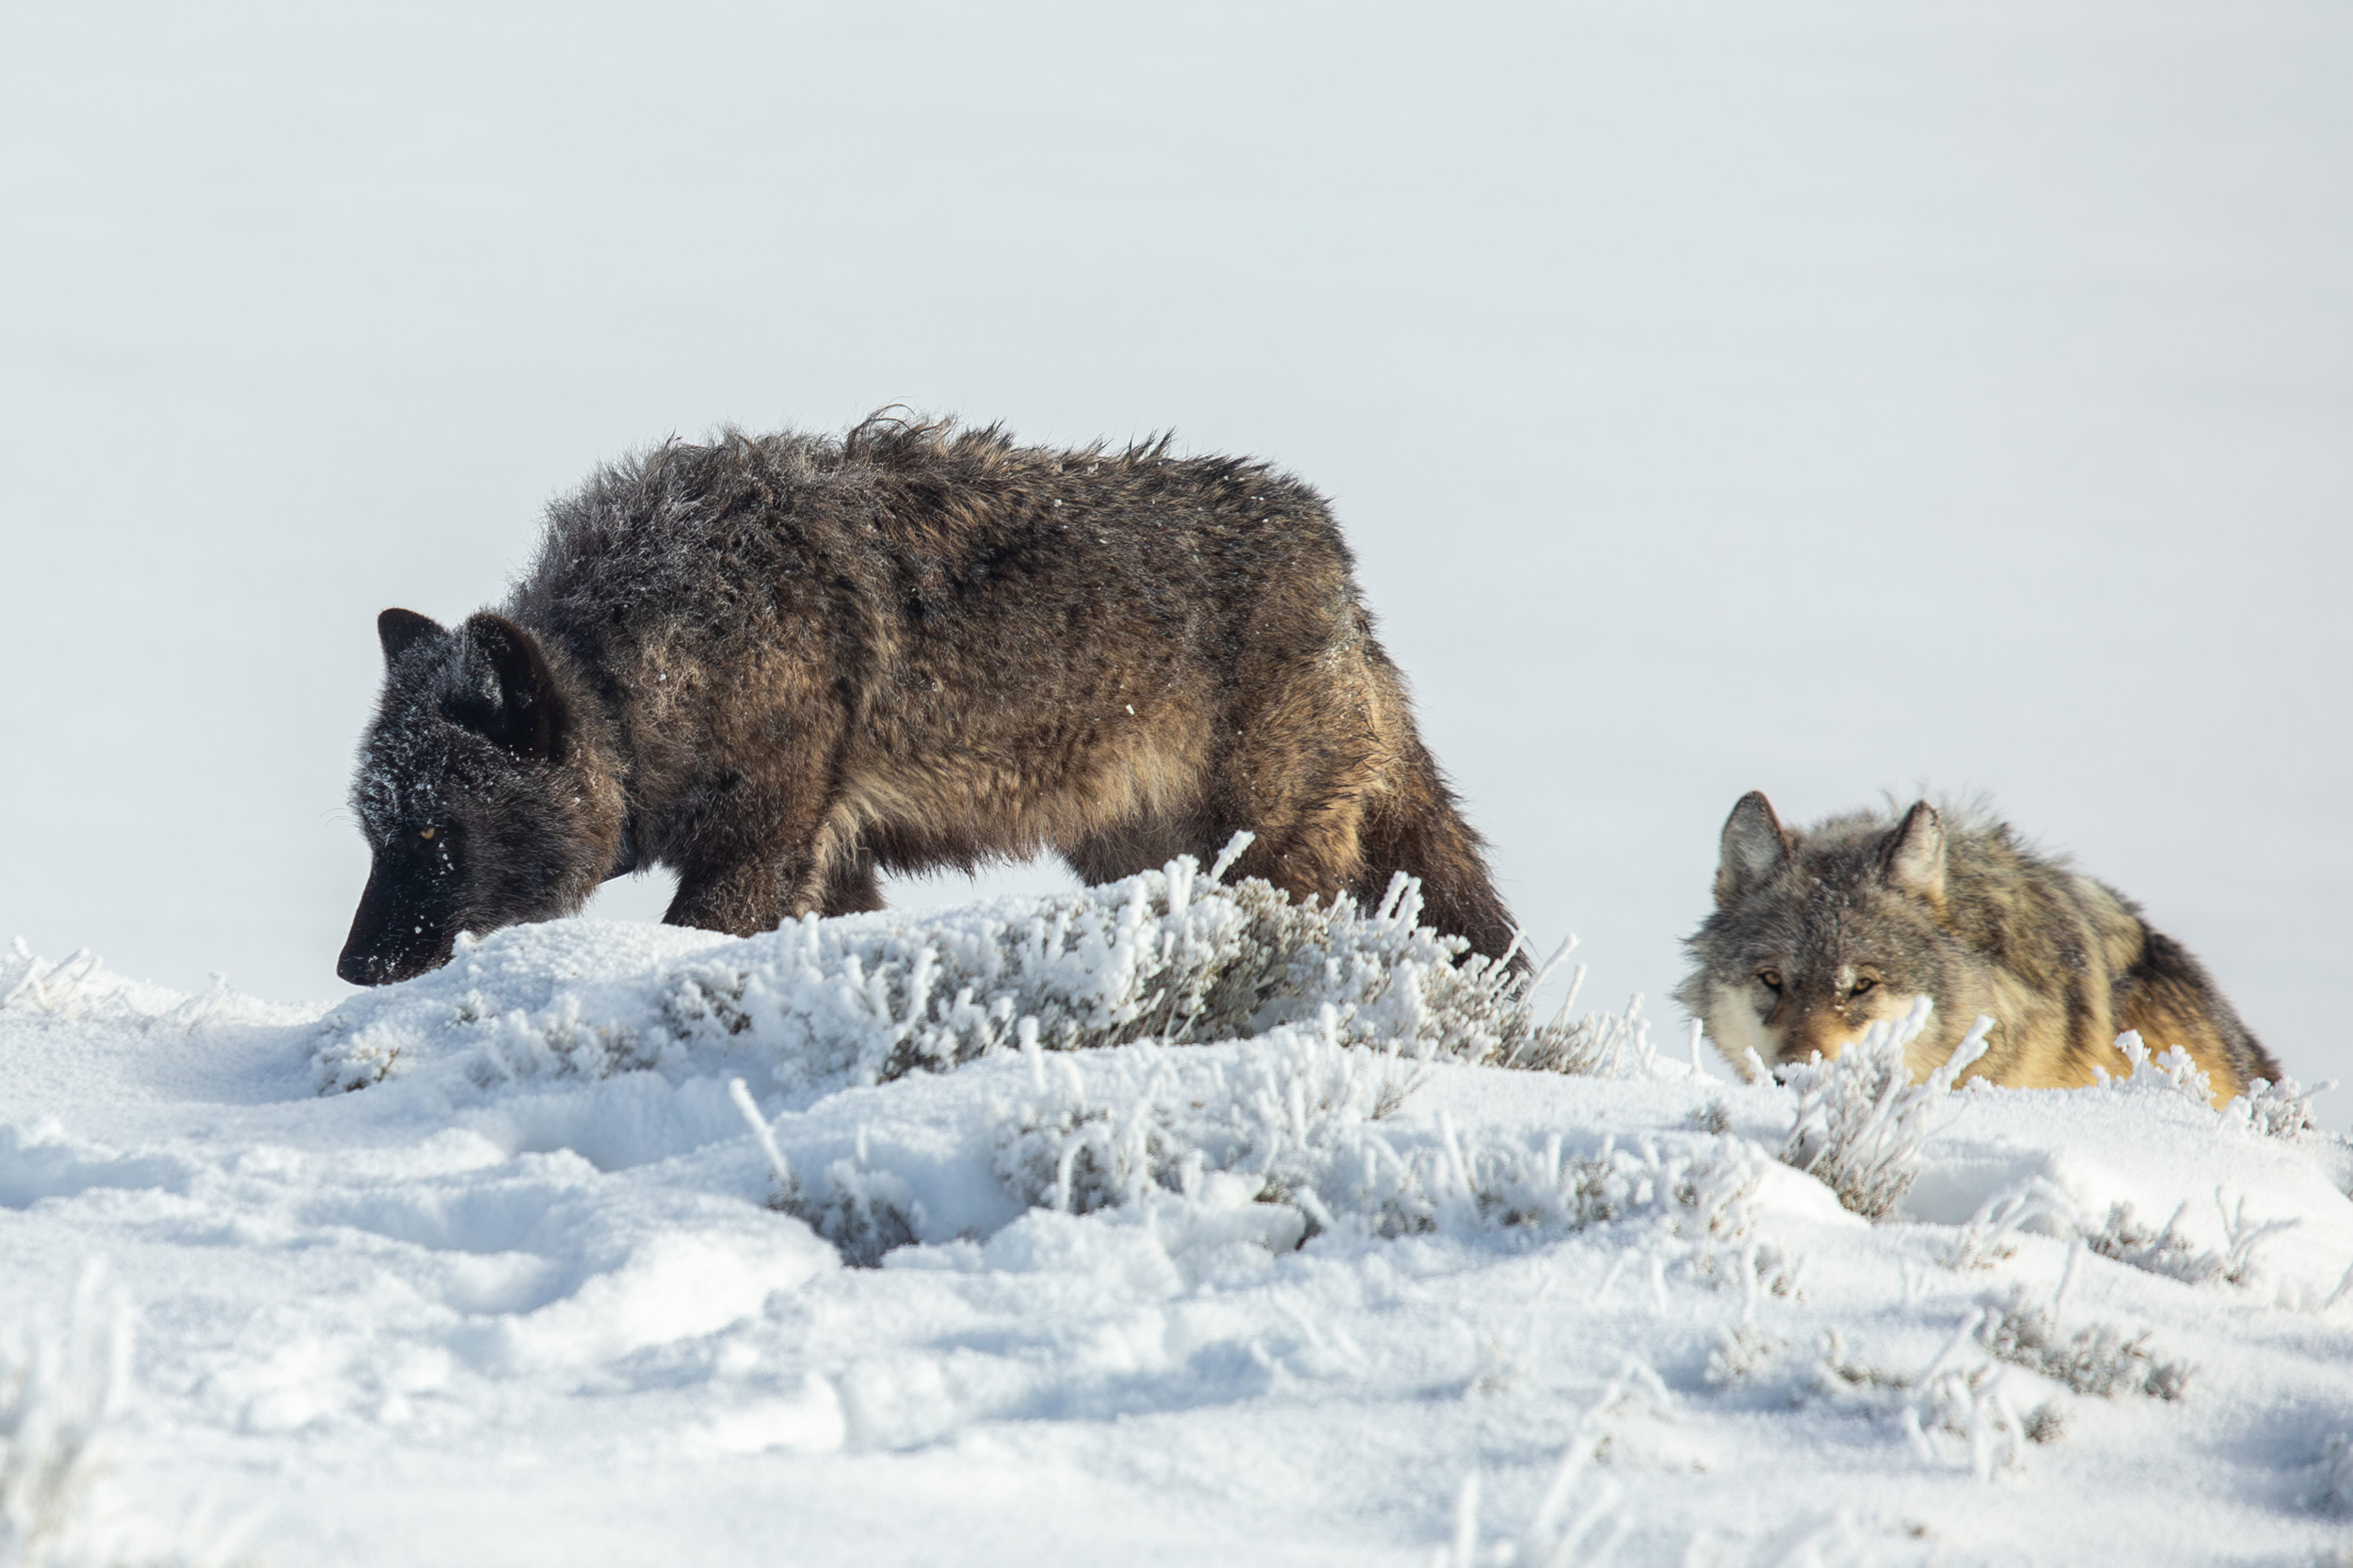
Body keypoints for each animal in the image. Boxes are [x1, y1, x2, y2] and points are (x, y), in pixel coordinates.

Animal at [337, 417, 1519, 986]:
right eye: (377, 833)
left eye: (439, 832)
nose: (354, 968)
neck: (649, 669)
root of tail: (1340, 572)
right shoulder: (828, 864)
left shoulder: (756, 851)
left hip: (1260, 857)